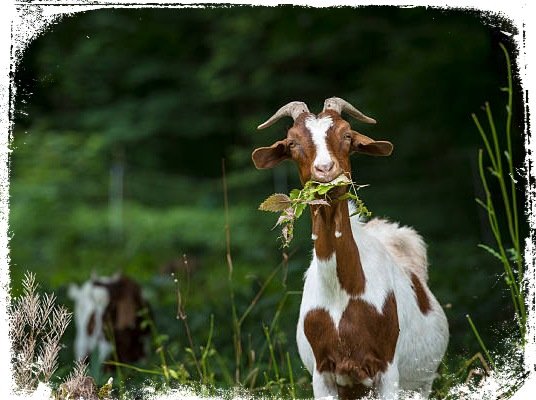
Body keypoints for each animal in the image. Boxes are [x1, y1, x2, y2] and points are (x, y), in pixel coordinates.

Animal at [251, 97, 448, 400]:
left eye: (347, 135)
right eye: (292, 142)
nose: (325, 169)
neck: (343, 293)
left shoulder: (387, 368)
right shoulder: (322, 372)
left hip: (421, 382)